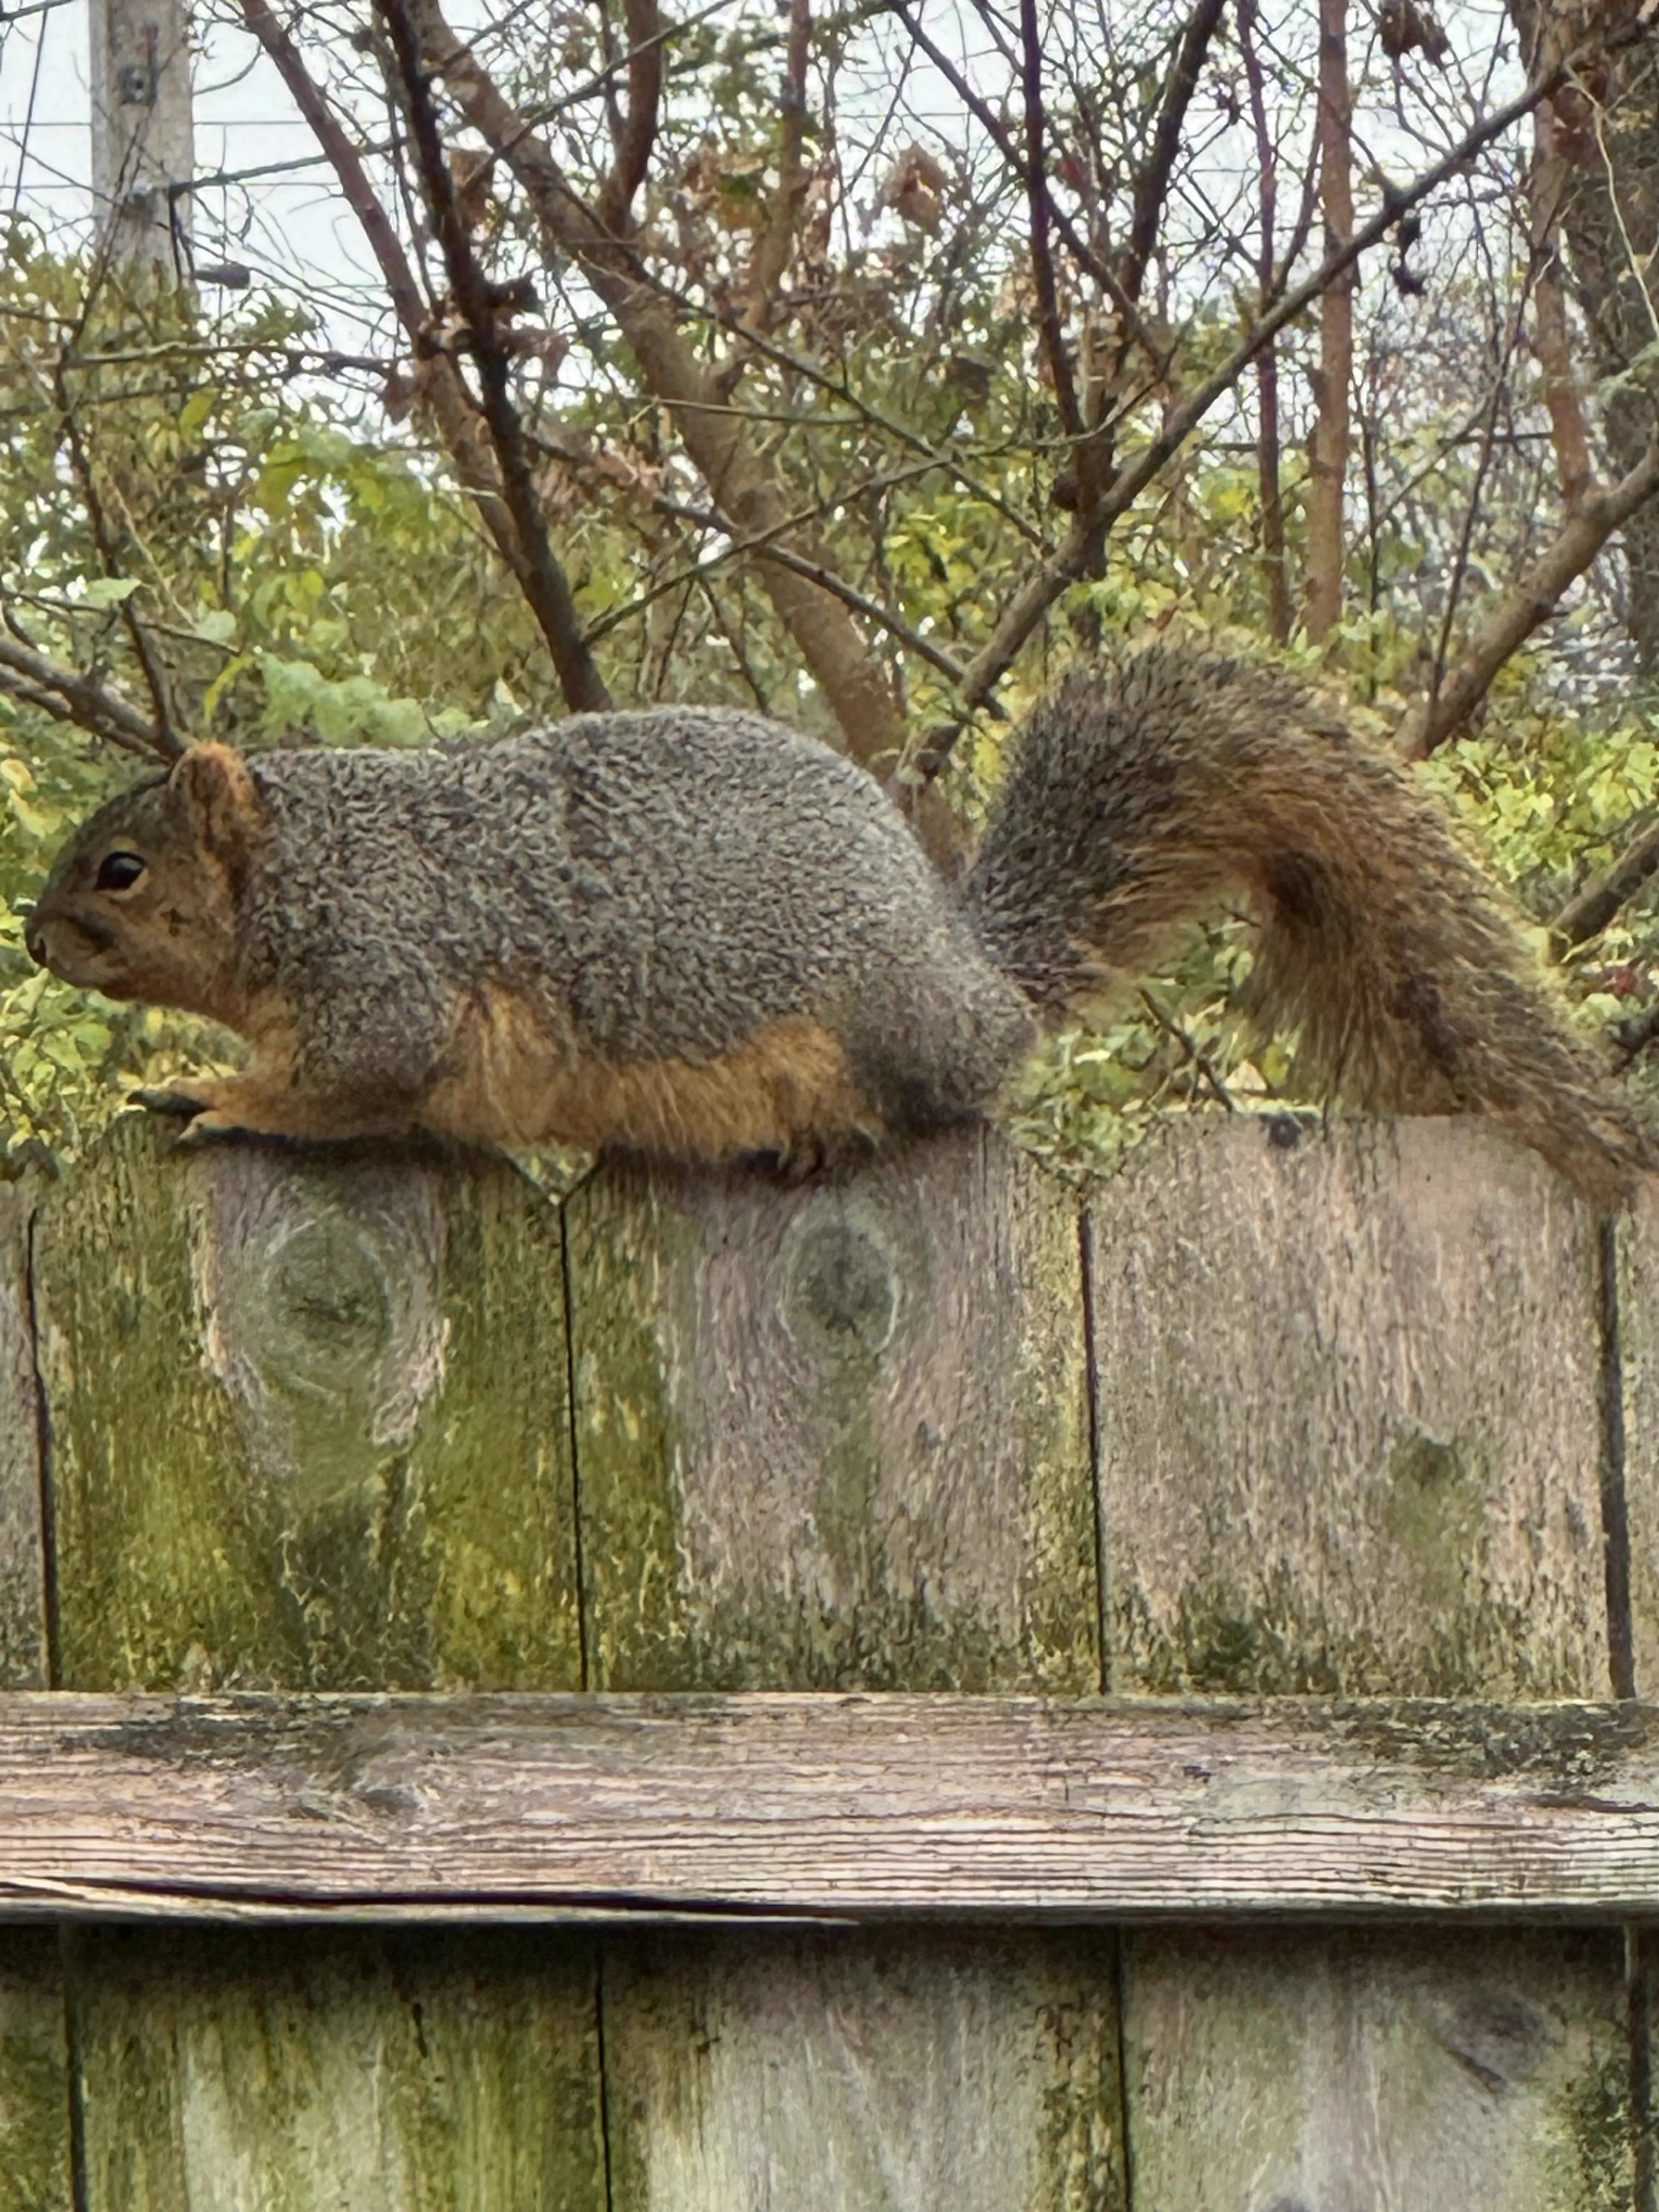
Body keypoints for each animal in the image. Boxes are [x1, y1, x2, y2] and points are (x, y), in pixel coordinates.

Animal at [23, 642, 1654, 1207]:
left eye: (120, 870)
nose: (34, 941)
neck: (308, 870)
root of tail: (974, 975)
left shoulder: (386, 971)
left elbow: (354, 1079)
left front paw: (214, 1092)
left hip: (888, 1040)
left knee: (949, 1107)